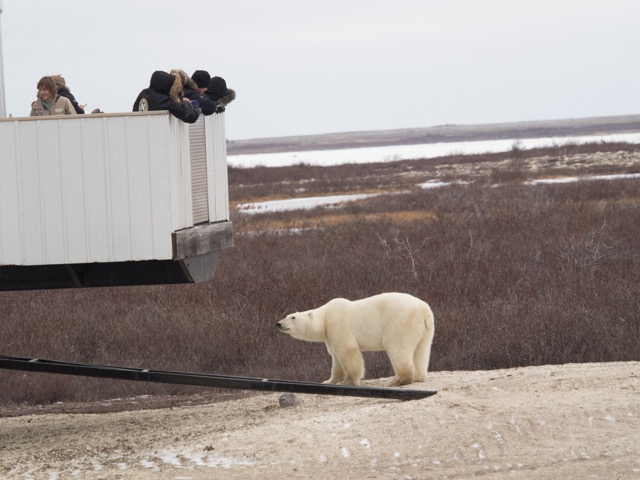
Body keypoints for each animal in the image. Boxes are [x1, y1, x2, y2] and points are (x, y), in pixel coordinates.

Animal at [276, 292, 434, 387]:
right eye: (287, 315)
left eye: (293, 317)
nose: (278, 323)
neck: (326, 316)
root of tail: (424, 311)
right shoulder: (330, 336)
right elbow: (336, 358)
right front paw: (329, 380)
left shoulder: (338, 325)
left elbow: (347, 351)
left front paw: (347, 382)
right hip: (426, 330)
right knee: (422, 350)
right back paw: (418, 377)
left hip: (400, 323)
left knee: (397, 347)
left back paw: (395, 381)